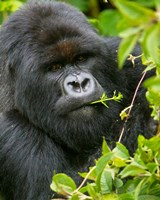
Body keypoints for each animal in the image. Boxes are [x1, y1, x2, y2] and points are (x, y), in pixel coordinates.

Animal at [0, 0, 156, 200]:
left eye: (81, 58)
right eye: (55, 67)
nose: (79, 83)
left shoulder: (122, 57)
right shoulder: (10, 130)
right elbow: (69, 189)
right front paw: (146, 118)